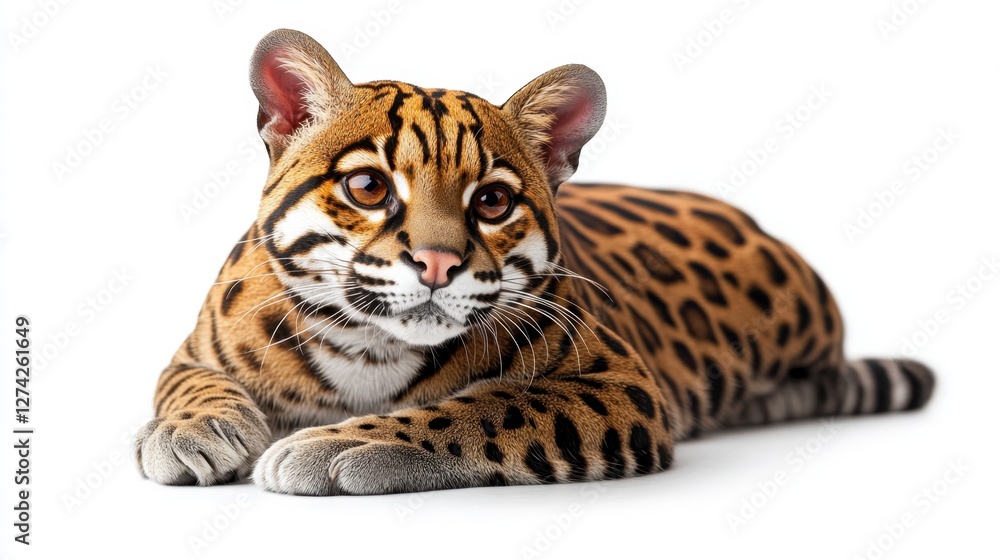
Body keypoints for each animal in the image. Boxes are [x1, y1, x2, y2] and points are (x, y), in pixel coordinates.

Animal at [131, 28, 935, 495]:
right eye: (368, 187)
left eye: (491, 200)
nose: (435, 264)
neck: (370, 346)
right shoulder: (194, 348)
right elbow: (190, 385)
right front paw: (188, 432)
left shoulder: (617, 383)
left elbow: (484, 406)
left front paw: (339, 444)